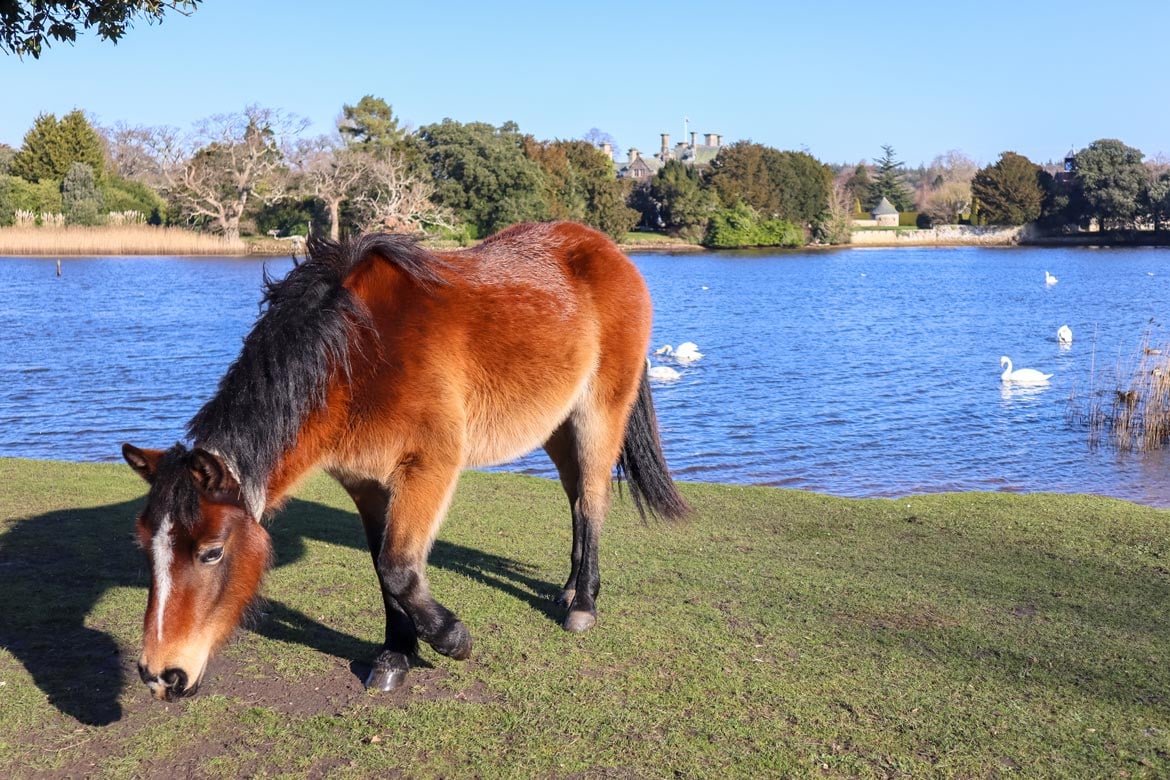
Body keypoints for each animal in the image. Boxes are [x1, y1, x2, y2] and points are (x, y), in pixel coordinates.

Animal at [123, 221, 687, 701]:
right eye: (145, 546)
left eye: (212, 553)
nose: (160, 675)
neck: (353, 354)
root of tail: (606, 249)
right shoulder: (365, 483)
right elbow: (382, 568)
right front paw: (396, 653)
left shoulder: (428, 467)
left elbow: (398, 566)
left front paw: (451, 639)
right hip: (555, 424)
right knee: (574, 498)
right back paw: (569, 590)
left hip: (599, 413)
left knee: (591, 501)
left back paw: (584, 604)